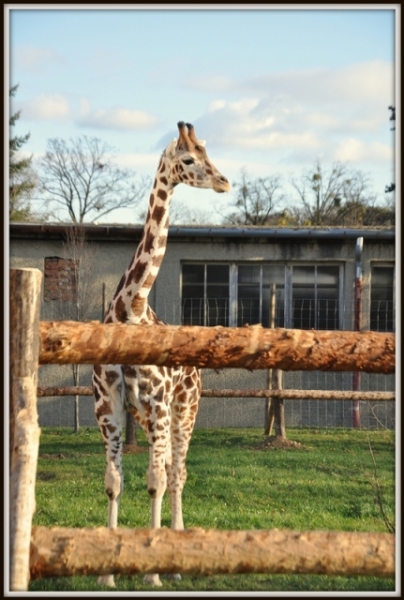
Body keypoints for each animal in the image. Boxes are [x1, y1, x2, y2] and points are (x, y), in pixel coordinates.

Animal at [92, 122, 230, 584]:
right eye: (189, 158)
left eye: (208, 152)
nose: (224, 181)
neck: (130, 312)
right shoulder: (109, 407)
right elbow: (114, 481)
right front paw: (106, 574)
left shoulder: (157, 404)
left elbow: (155, 480)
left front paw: (151, 572)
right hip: (156, 416)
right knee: (172, 469)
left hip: (185, 410)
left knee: (178, 472)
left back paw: (176, 558)